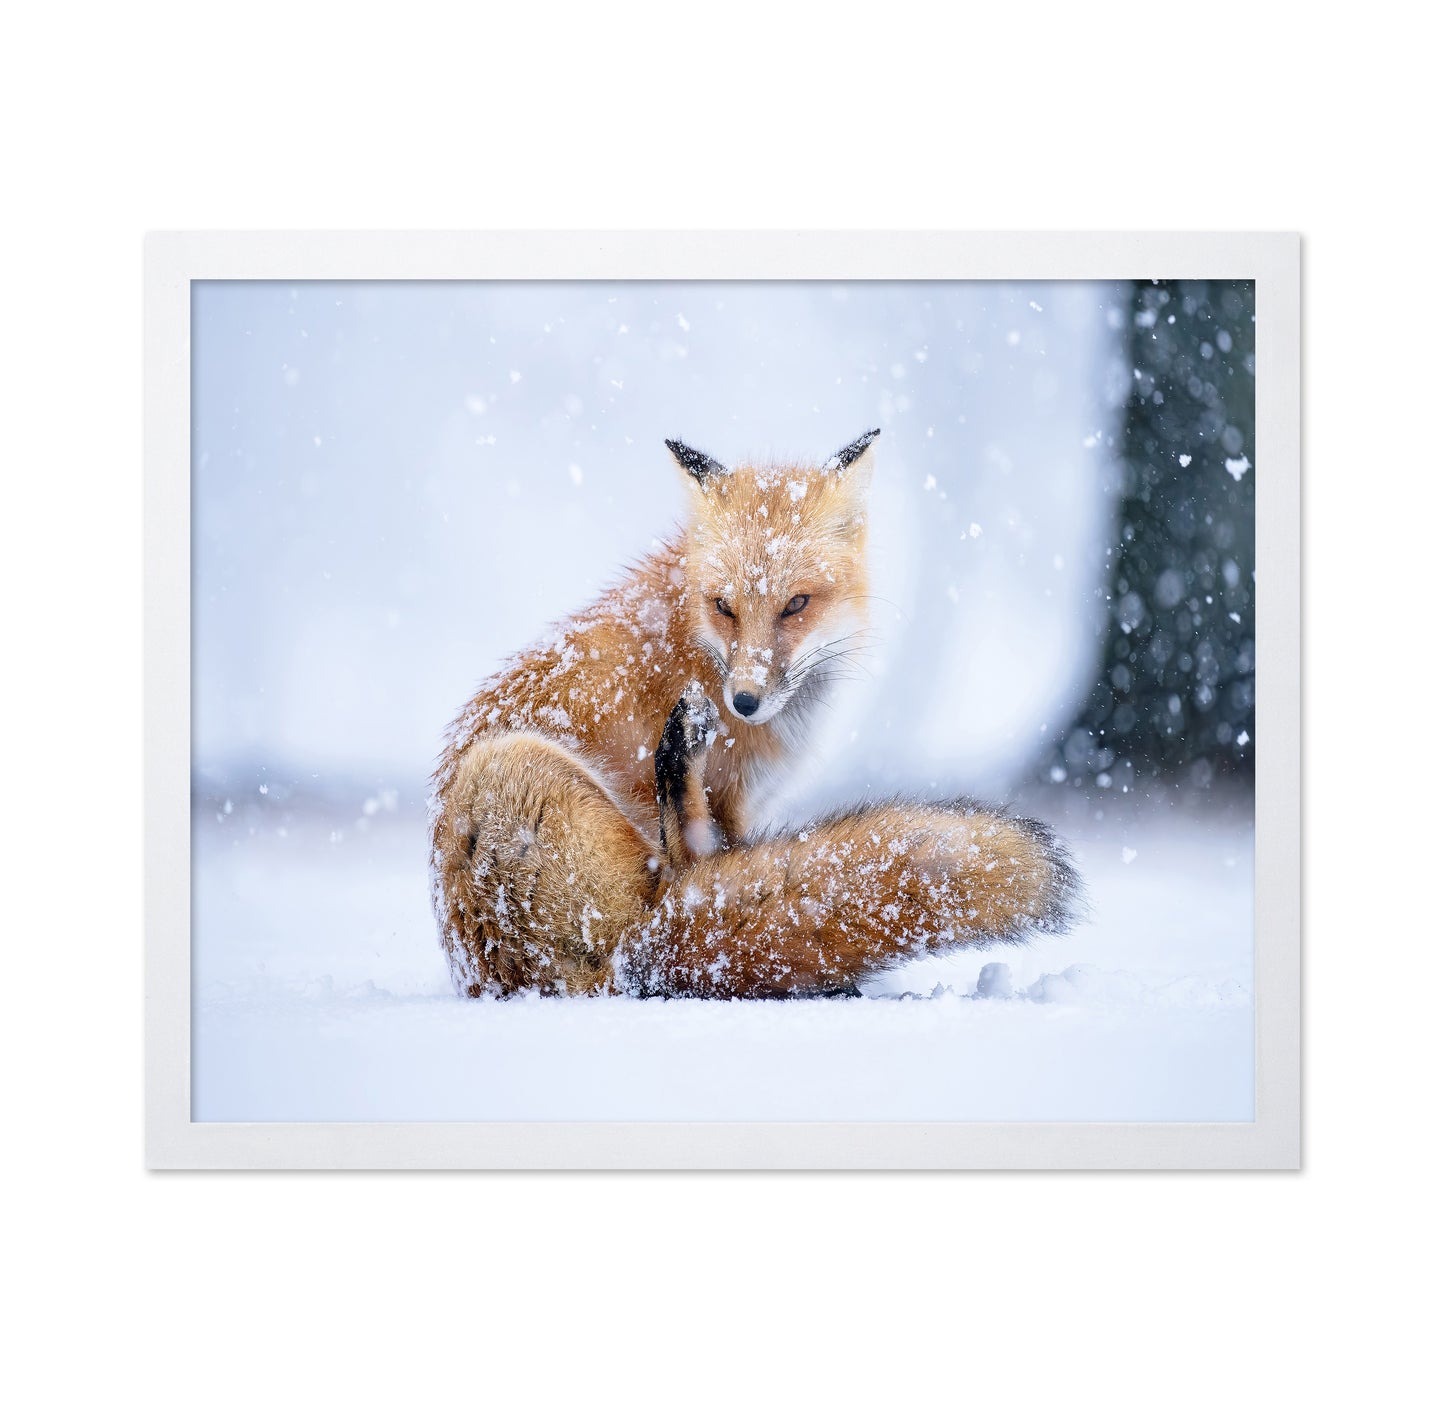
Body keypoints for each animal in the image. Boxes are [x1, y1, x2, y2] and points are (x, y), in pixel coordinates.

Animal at [429, 429, 1080, 998]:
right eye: (725, 607)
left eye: (795, 604)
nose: (743, 703)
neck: (695, 646)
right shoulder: (734, 801)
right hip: (509, 765)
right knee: (682, 879)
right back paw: (678, 757)